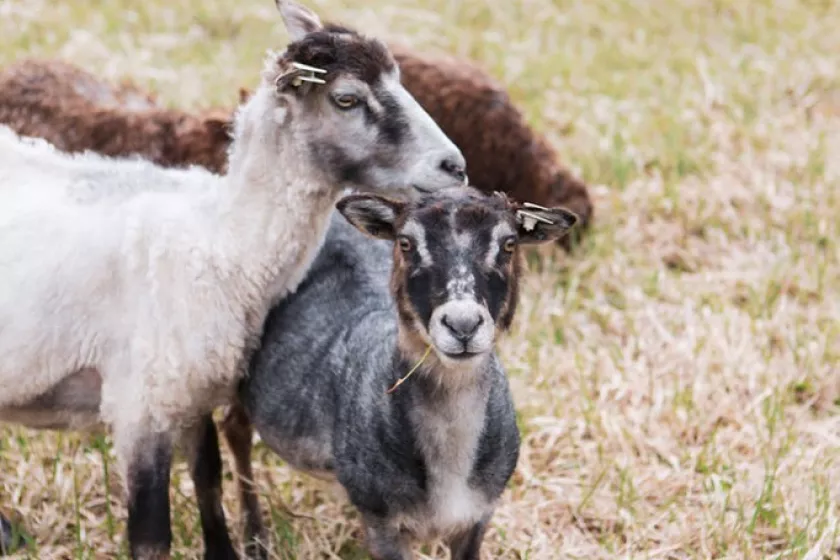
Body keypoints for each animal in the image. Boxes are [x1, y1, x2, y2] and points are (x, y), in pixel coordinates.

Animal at [0, 1, 468, 558]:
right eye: (347, 98)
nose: (455, 166)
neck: (221, 243)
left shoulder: (195, 390)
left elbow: (209, 481)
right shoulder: (142, 403)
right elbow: (151, 539)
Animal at [218, 187, 578, 559]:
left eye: (509, 244)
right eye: (405, 242)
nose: (462, 324)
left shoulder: (478, 516)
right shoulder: (382, 524)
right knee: (234, 428)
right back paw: (255, 539)